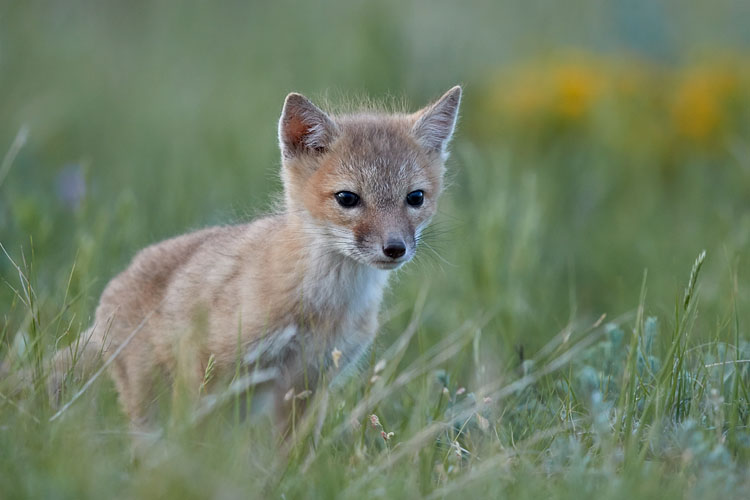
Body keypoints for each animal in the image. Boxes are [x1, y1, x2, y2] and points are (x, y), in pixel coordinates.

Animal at [46, 85, 462, 435]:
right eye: (348, 199)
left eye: (415, 198)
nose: (395, 248)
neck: (325, 306)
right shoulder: (207, 368)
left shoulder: (306, 384)